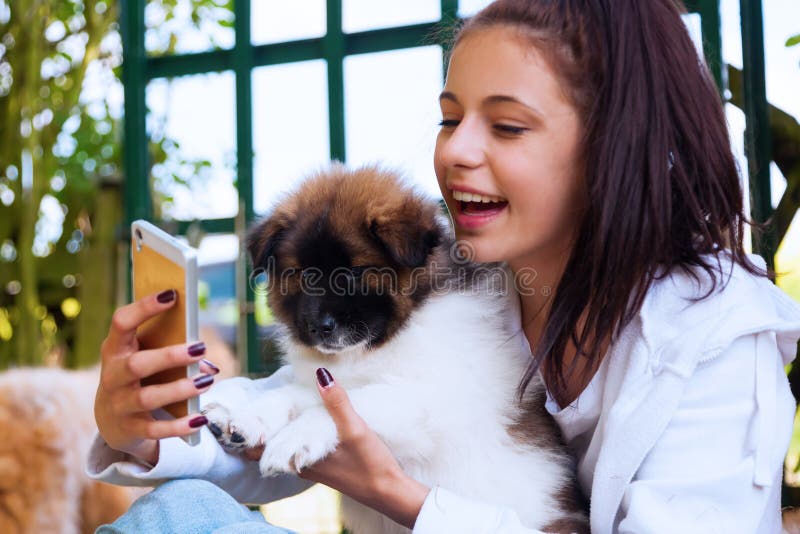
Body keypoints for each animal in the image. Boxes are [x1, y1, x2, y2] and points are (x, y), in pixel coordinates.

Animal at [202, 165, 588, 532]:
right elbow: (292, 388)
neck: (388, 336)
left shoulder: (425, 403)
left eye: (354, 273)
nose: (319, 328)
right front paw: (240, 414)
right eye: (304, 275)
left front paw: (292, 438)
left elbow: (343, 401)